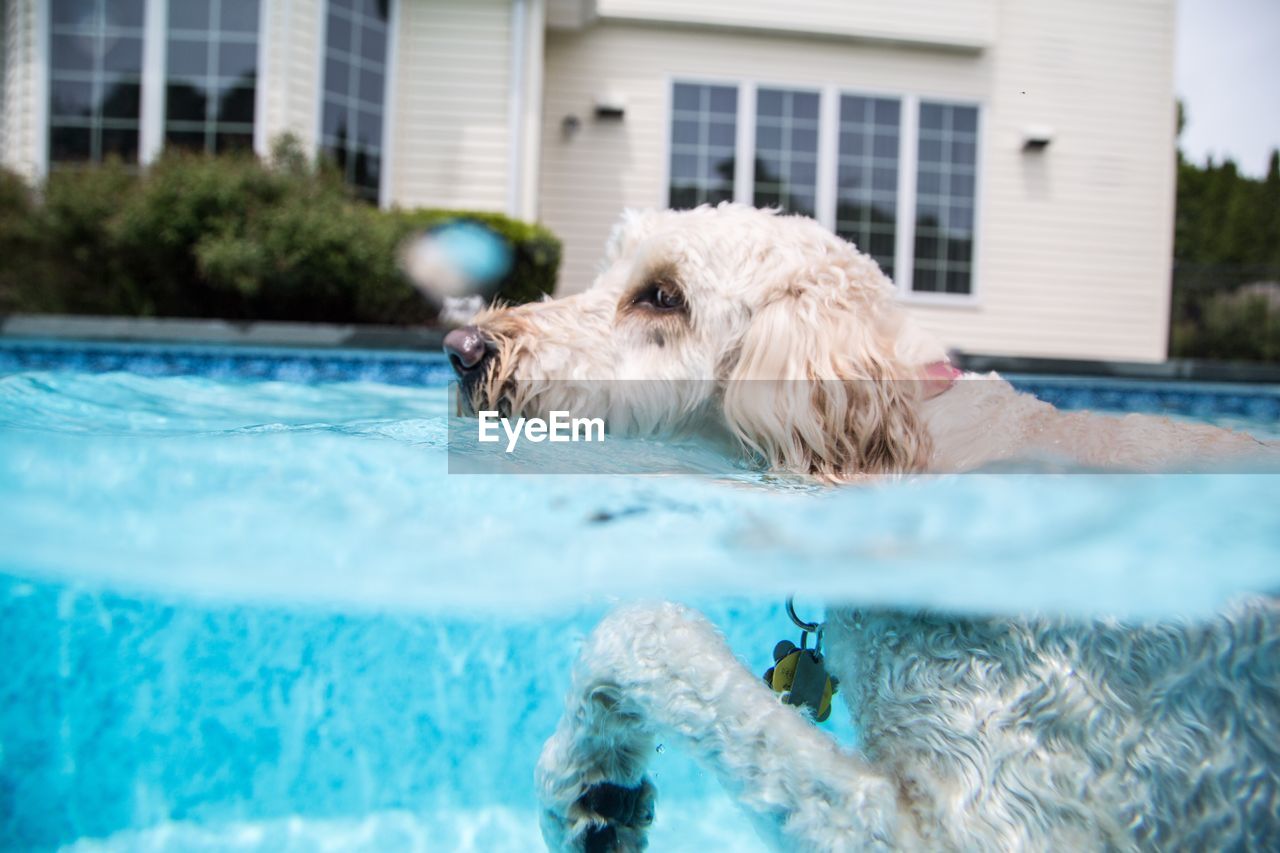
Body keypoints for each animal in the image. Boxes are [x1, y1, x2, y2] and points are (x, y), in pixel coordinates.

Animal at [442, 206, 1280, 850]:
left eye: (662, 296)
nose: (461, 349)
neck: (911, 454)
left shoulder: (1006, 813)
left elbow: (645, 629)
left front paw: (581, 784)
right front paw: (593, 792)